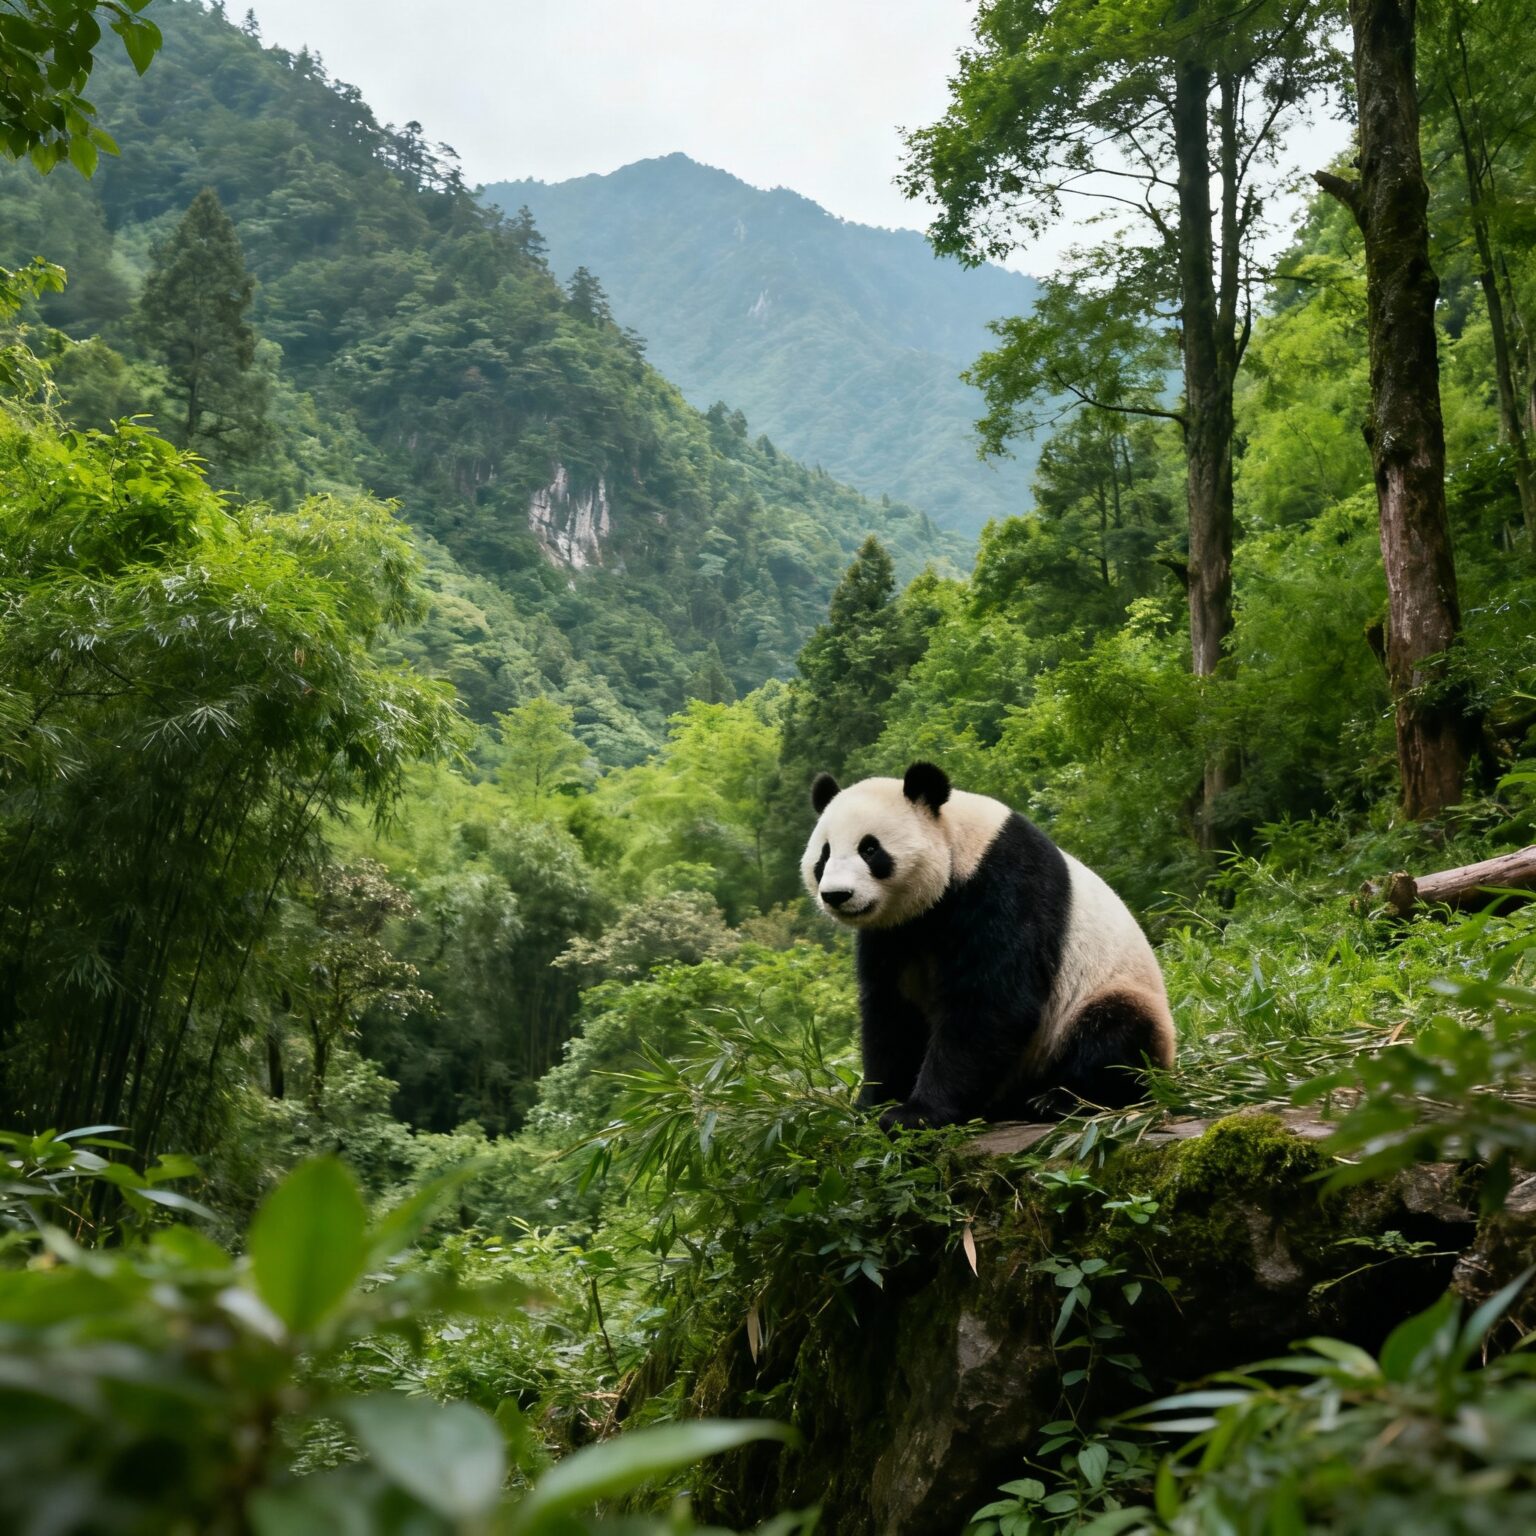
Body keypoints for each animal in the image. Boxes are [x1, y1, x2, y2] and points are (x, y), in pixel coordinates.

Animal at [801, 761, 1175, 1128]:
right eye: (824, 855)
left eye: (869, 849)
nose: (837, 895)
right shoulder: (892, 932)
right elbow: (891, 1011)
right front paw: (872, 1105)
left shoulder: (1005, 885)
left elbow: (992, 1002)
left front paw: (916, 1113)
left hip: (1103, 1000)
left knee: (1115, 1034)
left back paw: (1059, 1100)